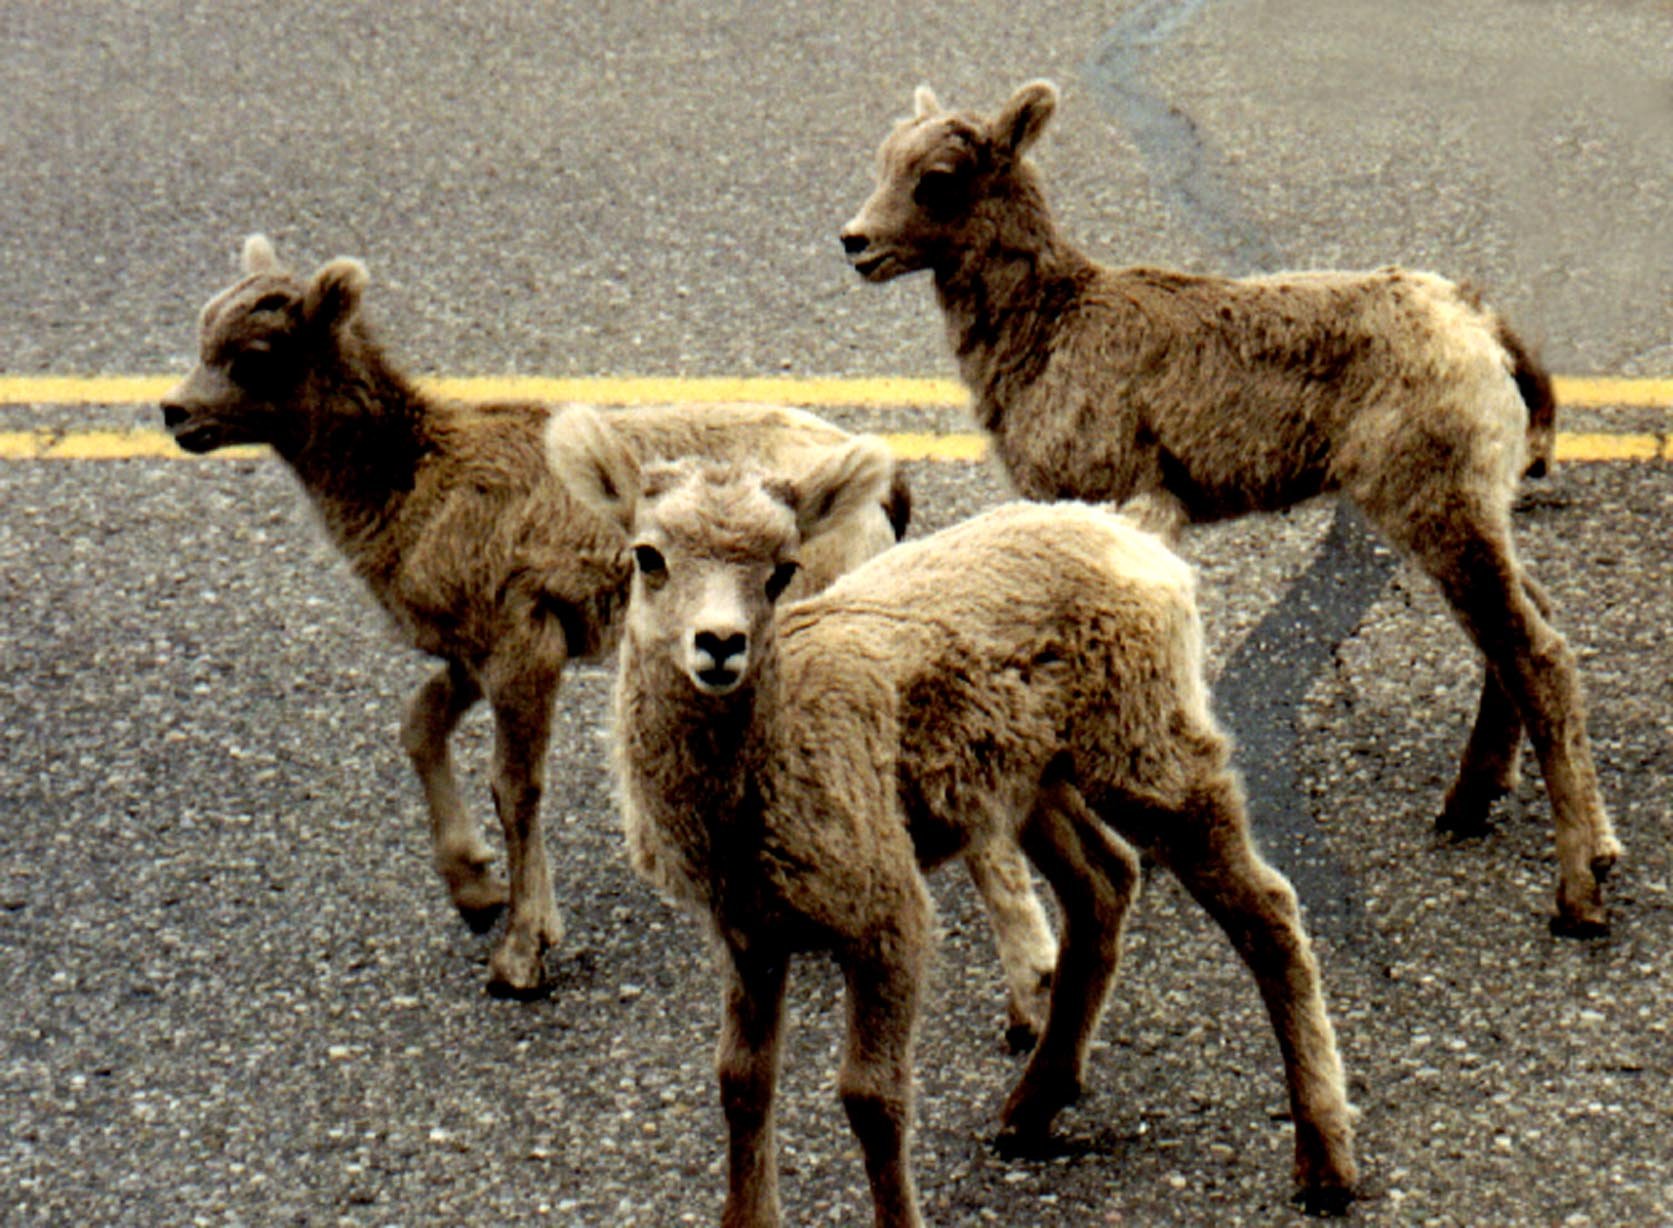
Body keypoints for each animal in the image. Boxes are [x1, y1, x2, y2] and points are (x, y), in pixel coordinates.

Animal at [159, 234, 1057, 1010]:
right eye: (203, 333)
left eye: (256, 355)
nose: (174, 413)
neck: (418, 485)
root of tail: (882, 485)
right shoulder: (475, 656)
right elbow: (419, 726)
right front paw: (475, 889)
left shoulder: (524, 647)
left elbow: (515, 785)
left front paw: (520, 957)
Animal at [549, 405, 1359, 1224]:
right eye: (648, 557)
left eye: (780, 570)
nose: (719, 645)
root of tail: (1130, 532)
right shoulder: (747, 930)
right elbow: (740, 1084)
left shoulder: (887, 915)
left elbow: (870, 1097)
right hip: (1029, 783)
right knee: (1103, 882)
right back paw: (1030, 1110)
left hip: (1149, 753)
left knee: (1266, 913)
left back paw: (1324, 1161)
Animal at [840, 80, 1619, 936]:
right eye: (881, 161)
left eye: (937, 178)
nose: (855, 243)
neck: (1049, 333)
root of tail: (1484, 329)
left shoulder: (1130, 498)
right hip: (1466, 506)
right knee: (1522, 625)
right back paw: (1469, 807)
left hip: (1432, 501)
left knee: (1535, 652)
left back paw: (1580, 891)